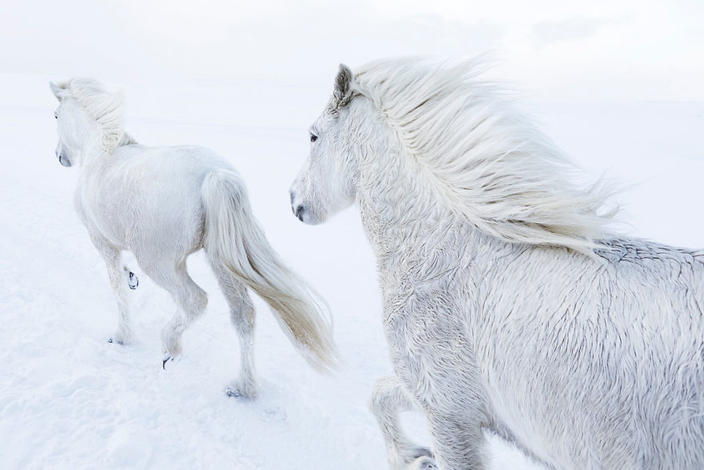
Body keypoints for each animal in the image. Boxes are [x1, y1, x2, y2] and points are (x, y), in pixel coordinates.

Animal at [50, 78, 336, 396]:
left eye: (56, 115)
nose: (59, 157)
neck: (100, 152)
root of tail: (215, 175)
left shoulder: (101, 241)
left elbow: (117, 288)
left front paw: (121, 335)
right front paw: (131, 277)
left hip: (161, 263)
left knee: (194, 299)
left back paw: (170, 347)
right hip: (222, 260)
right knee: (243, 314)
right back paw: (242, 387)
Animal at [288, 59, 704, 470]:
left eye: (313, 136)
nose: (294, 201)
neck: (442, 256)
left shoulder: (449, 411)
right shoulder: (452, 403)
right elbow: (380, 393)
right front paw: (412, 456)